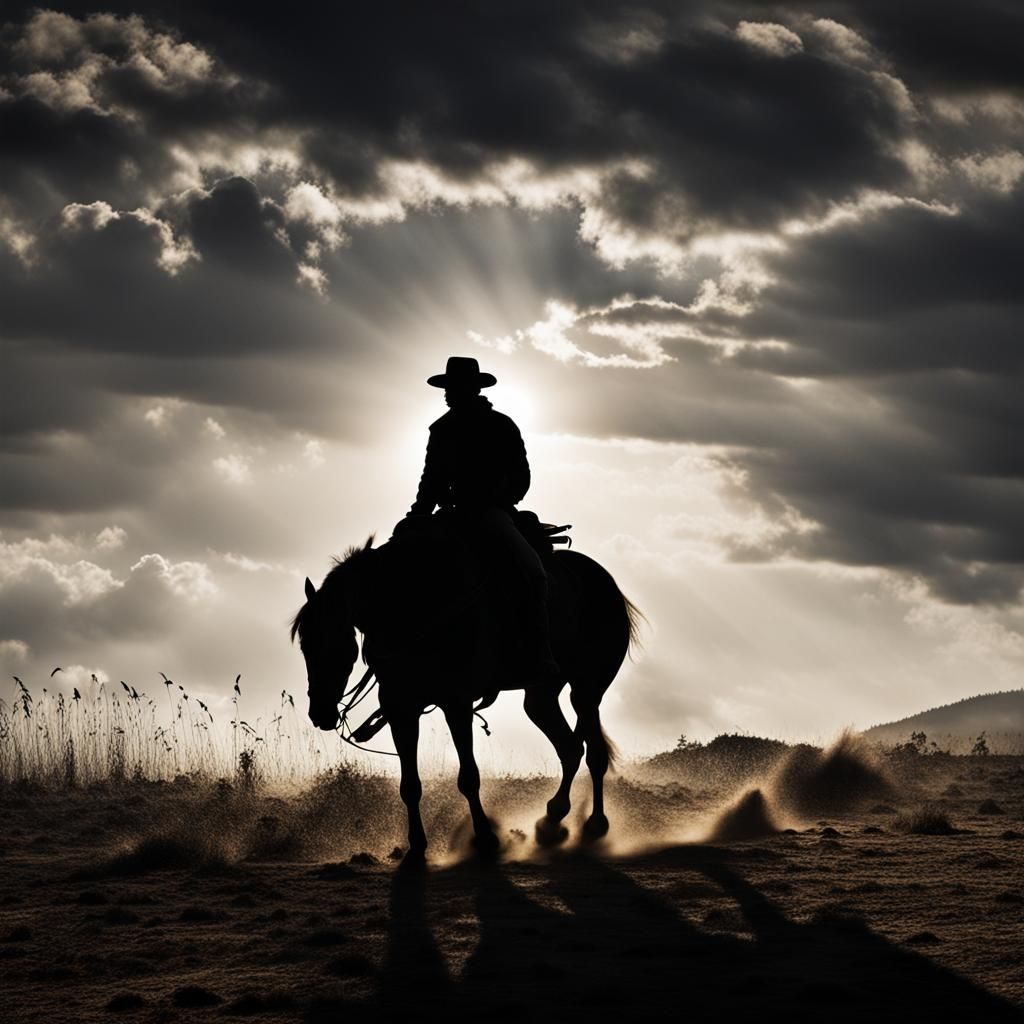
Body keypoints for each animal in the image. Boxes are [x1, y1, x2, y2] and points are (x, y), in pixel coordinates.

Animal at [291, 515, 643, 859]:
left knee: (593, 753)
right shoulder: (401, 709)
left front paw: (485, 838)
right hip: (541, 696)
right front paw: (416, 847)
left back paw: (594, 825)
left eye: (338, 647)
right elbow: (410, 785)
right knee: (569, 748)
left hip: (586, 688)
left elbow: (469, 777)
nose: (320, 712)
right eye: (304, 646)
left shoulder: (456, 704)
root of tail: (605, 582)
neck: (414, 605)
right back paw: (552, 819)